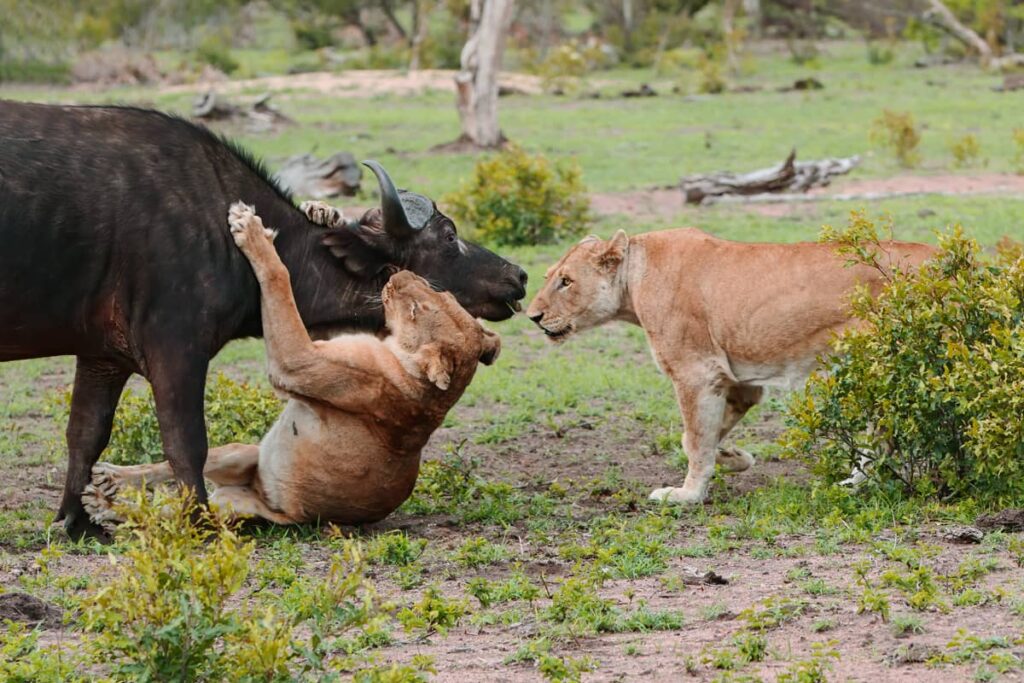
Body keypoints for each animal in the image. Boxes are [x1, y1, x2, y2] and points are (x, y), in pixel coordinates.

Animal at [83, 202, 500, 528]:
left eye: (416, 308)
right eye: (441, 295)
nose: (402, 273)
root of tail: (261, 491)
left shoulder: (299, 362)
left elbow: (280, 279)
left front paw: (251, 230)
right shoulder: (329, 340)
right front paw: (325, 213)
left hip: (232, 509)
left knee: (176, 512)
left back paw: (105, 503)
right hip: (240, 451)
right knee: (174, 473)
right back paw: (107, 484)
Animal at [526, 228, 934, 505]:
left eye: (566, 281)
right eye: (548, 277)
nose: (532, 316)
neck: (633, 279)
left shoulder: (695, 372)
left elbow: (694, 439)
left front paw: (686, 495)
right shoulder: (737, 382)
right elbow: (700, 436)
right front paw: (734, 458)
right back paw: (856, 484)